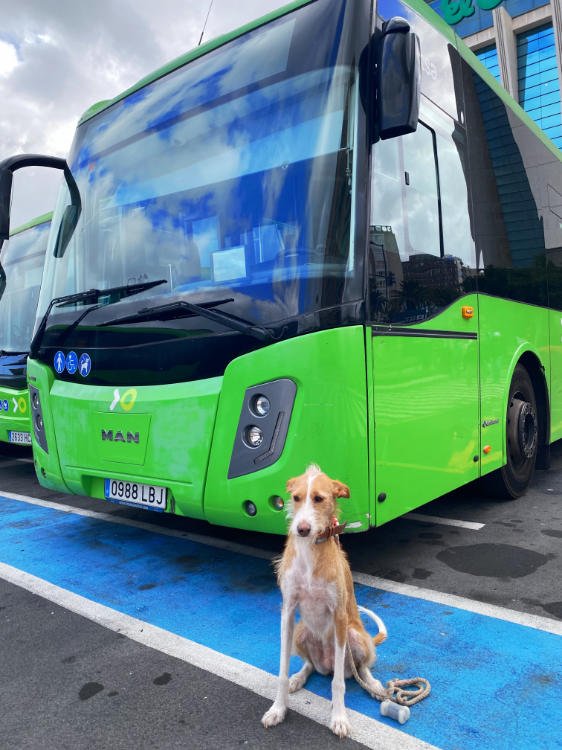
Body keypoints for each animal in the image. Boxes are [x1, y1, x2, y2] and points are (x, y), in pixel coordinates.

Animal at [262, 464, 384, 740]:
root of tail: (325, 664)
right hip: (300, 632)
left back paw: (373, 684)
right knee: (310, 665)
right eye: (296, 497)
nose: (302, 529)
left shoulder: (339, 615)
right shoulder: (288, 611)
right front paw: (278, 709)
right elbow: (281, 671)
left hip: (353, 635)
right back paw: (299, 677)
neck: (310, 550)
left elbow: (338, 683)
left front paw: (339, 718)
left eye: (319, 498)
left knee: (360, 668)